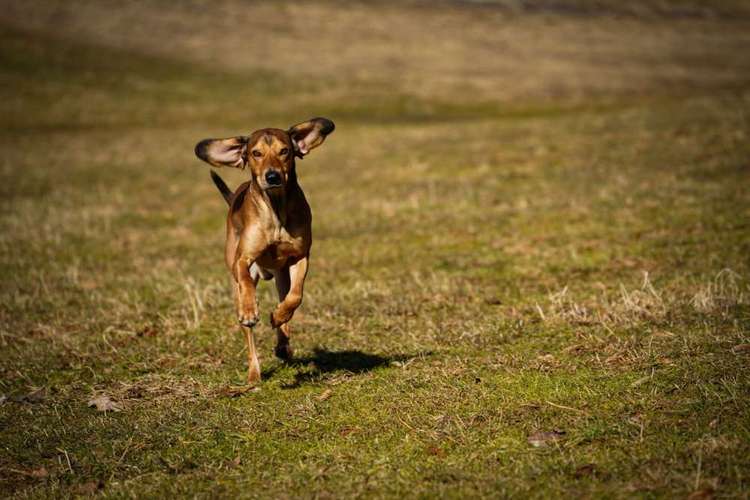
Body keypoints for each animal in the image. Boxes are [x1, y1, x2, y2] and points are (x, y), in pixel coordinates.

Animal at [195, 117, 336, 382]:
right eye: (256, 153)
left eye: (285, 151)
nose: (272, 176)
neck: (276, 210)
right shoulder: (243, 260)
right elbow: (245, 280)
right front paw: (251, 310)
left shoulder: (300, 257)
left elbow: (296, 296)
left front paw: (279, 316)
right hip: (237, 284)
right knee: (248, 330)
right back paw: (254, 372)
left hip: (281, 276)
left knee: (285, 305)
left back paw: (282, 341)